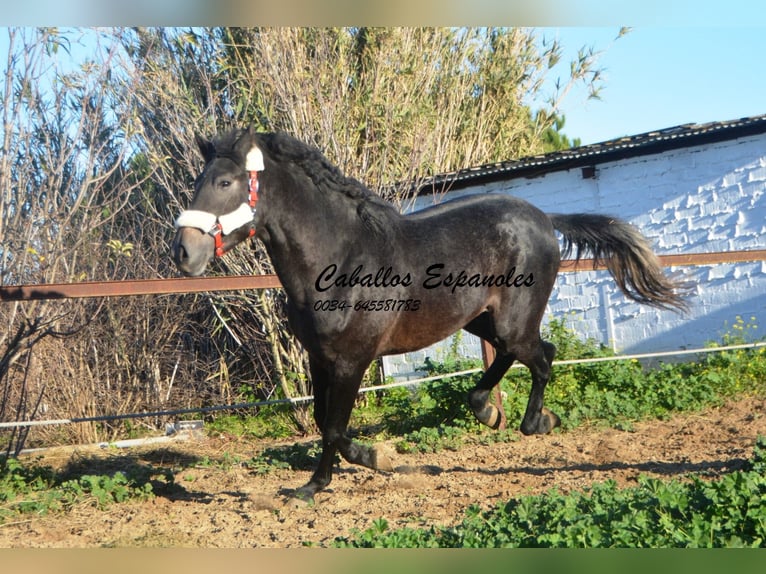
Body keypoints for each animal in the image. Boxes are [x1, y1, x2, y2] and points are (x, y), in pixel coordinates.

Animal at [174, 127, 688, 504]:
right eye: (196, 183)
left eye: (224, 183)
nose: (183, 252)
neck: (339, 257)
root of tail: (544, 218)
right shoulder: (321, 359)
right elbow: (322, 421)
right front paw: (324, 481)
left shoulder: (352, 360)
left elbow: (336, 427)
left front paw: (364, 463)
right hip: (480, 318)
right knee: (520, 353)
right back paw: (486, 410)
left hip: (511, 321)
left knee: (541, 355)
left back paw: (535, 422)